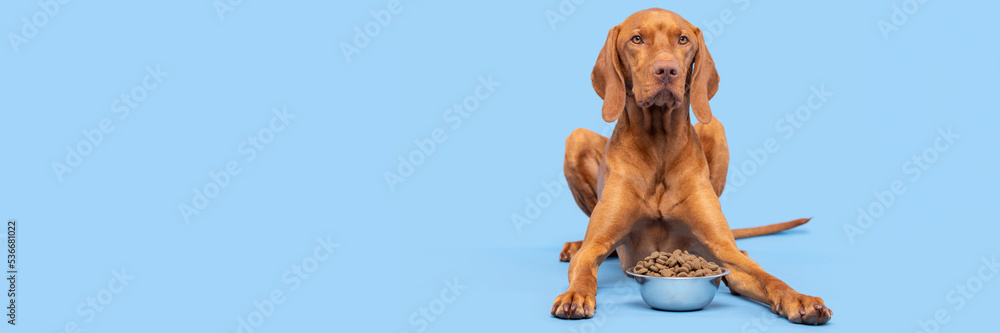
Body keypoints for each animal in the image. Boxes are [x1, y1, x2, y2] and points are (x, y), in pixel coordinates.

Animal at [552, 8, 832, 324]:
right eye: (636, 39)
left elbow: (767, 277)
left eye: (683, 39)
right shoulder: (596, 245)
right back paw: (573, 245)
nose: (666, 70)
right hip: (575, 138)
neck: (659, 145)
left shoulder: (723, 252)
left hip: (716, 128)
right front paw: (575, 294)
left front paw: (799, 298)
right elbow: (585, 268)